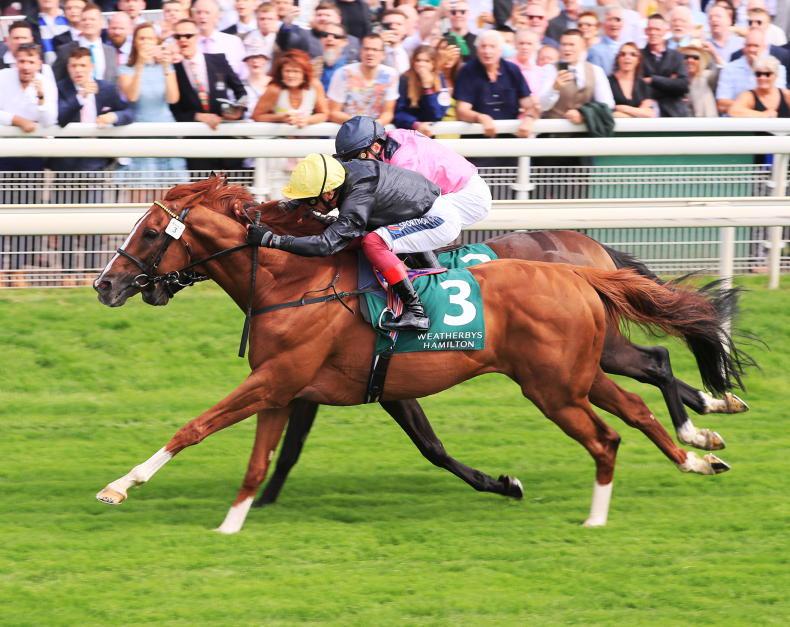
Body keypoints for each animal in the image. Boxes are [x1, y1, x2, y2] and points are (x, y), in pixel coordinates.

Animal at [93, 181, 747, 533]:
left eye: (148, 233)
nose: (105, 284)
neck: (293, 280)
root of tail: (586, 262)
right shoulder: (365, 385)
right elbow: (427, 447)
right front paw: (502, 482)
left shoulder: (283, 378)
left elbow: (199, 425)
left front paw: (122, 485)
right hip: (578, 370)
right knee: (643, 390)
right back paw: (701, 446)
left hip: (565, 376)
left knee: (649, 374)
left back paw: (697, 431)